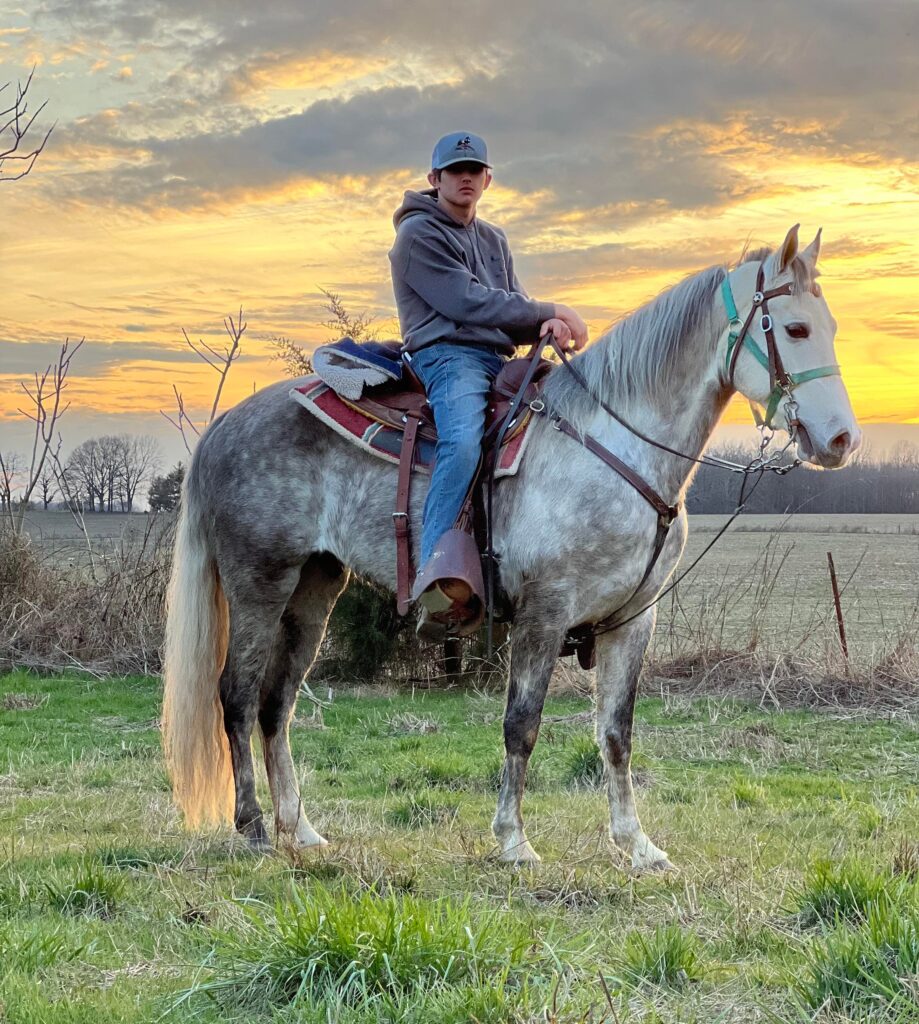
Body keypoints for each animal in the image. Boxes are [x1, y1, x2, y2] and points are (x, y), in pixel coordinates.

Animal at [162, 225, 860, 871]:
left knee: (277, 702)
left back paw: (299, 829)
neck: (615, 447)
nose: (842, 441)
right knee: (237, 696)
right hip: (260, 582)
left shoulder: (633, 619)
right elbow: (521, 725)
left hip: (314, 588)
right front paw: (513, 841)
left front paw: (637, 845)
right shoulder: (544, 612)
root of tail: (225, 426)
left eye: (828, 326)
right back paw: (253, 828)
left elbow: (616, 733)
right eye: (795, 328)